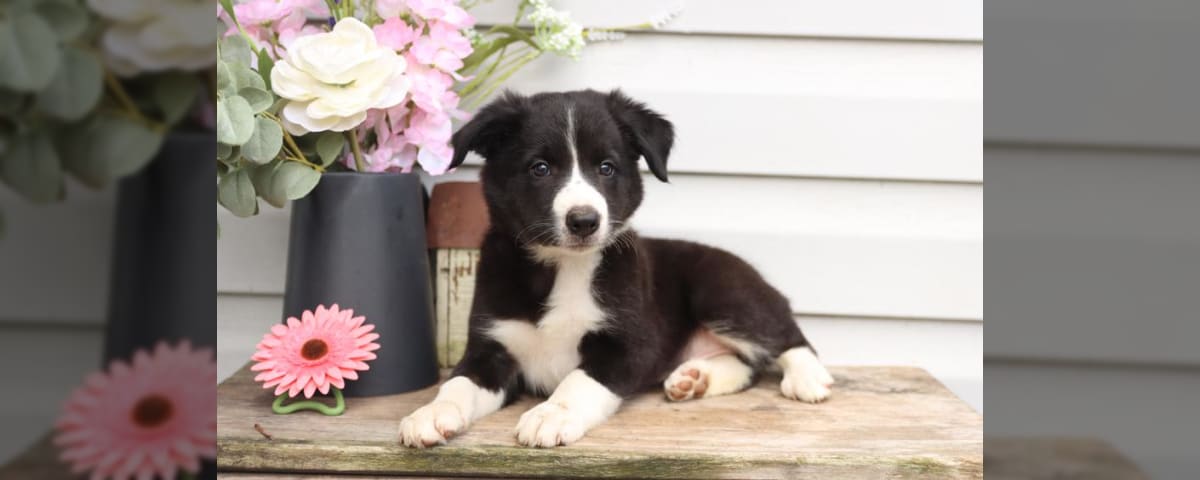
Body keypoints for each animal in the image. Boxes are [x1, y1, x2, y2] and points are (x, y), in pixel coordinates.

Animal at [398, 91, 830, 451]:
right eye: (540, 168)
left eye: (606, 167)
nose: (584, 220)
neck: (561, 267)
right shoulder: (490, 347)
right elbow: (458, 383)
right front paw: (430, 414)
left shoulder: (629, 345)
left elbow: (578, 380)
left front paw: (551, 415)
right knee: (747, 366)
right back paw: (694, 378)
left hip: (722, 291)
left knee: (786, 334)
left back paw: (808, 378)